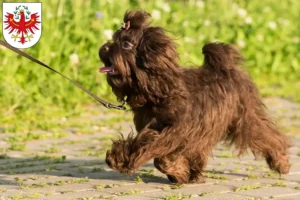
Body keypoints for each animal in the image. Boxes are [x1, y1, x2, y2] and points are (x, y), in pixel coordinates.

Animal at [98, 10, 290, 184]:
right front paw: (183, 173)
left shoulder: (176, 132)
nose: (104, 47)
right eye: (114, 39)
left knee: (266, 134)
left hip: (244, 117)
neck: (159, 90)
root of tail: (226, 67)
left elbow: (157, 153)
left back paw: (281, 162)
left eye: (126, 44)